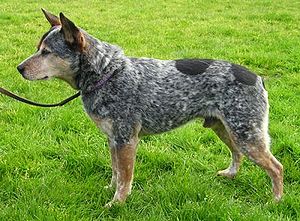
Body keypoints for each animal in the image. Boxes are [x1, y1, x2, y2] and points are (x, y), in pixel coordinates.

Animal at [17, 9, 284, 207]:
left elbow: (125, 177)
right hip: (226, 130)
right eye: (38, 48)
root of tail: (258, 78)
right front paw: (109, 190)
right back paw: (231, 174)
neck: (107, 73)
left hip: (246, 135)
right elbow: (115, 172)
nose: (19, 68)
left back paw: (276, 200)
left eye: (46, 52)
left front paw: (116, 204)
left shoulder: (126, 140)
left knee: (276, 167)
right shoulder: (113, 139)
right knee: (237, 154)